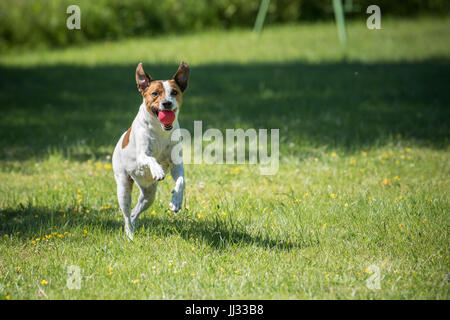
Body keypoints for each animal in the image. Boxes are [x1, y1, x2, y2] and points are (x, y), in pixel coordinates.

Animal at [113, 61, 191, 239]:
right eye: (155, 93)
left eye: (174, 92)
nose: (167, 103)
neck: (161, 130)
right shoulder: (142, 156)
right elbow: (151, 159)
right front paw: (157, 170)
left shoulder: (176, 165)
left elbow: (181, 181)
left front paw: (176, 201)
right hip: (123, 186)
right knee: (126, 215)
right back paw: (130, 235)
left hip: (149, 195)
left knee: (135, 212)